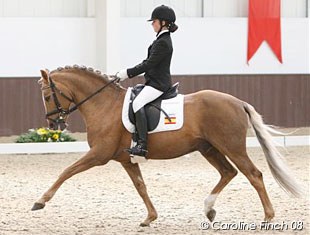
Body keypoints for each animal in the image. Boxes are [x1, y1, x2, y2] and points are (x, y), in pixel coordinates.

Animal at [32, 65, 304, 227]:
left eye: (46, 96)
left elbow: (66, 171)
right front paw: (150, 218)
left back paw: (268, 217)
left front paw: (41, 201)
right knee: (229, 172)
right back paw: (209, 209)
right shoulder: (126, 159)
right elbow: (141, 187)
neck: (104, 104)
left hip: (231, 147)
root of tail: (238, 102)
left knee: (253, 175)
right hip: (209, 148)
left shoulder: (99, 154)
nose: (54, 124)